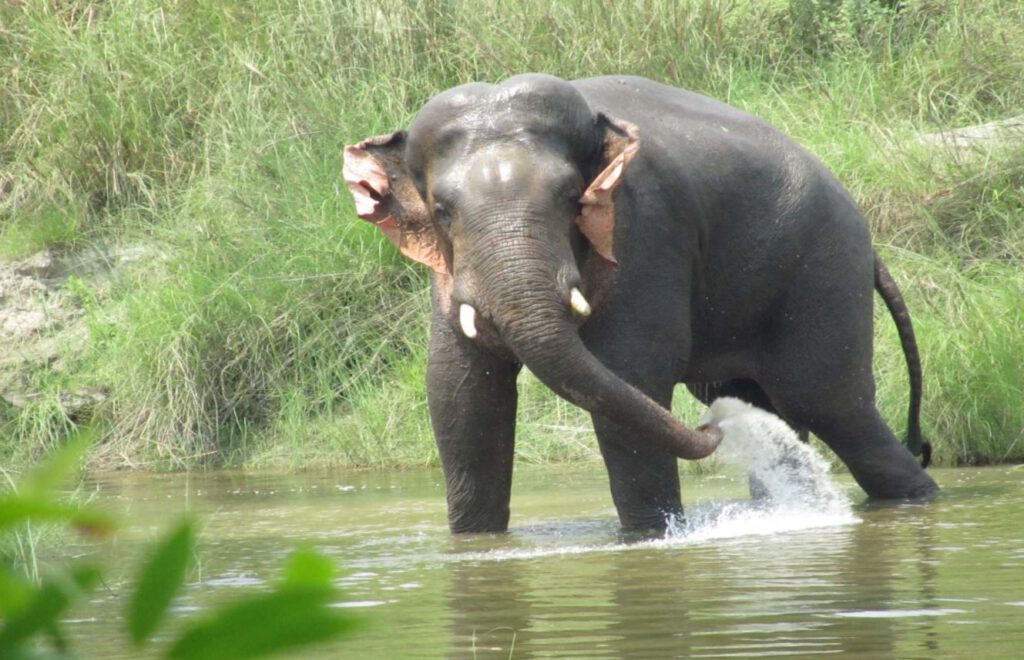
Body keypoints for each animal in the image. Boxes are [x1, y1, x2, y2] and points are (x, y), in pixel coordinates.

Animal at [343, 74, 938, 534]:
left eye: (571, 199)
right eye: (442, 211)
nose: (713, 428)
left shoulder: (644, 228)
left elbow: (632, 373)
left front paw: (652, 537)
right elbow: (460, 394)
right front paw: (475, 542)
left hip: (823, 271)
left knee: (832, 406)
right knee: (784, 409)